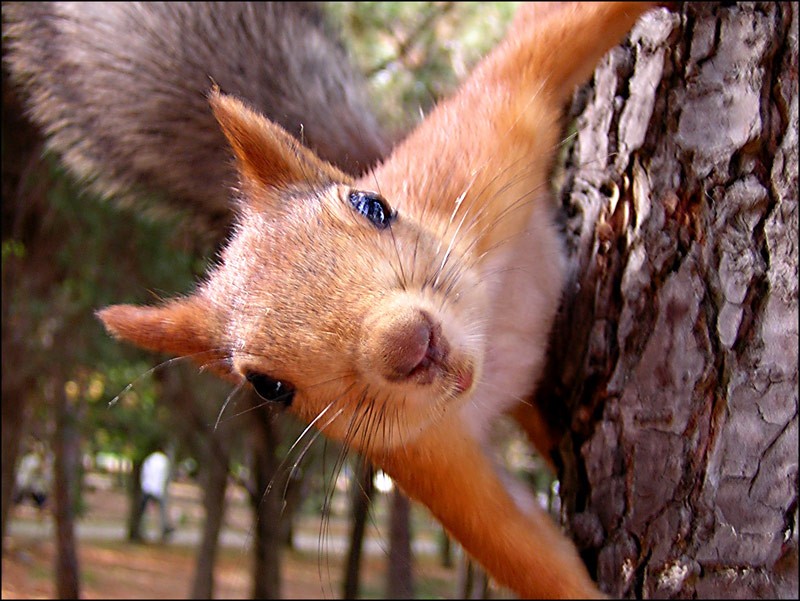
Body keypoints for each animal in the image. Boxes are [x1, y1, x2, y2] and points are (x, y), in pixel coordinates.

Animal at [4, 2, 656, 596]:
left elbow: (540, 43)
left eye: (373, 205)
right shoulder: (421, 450)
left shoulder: (482, 143)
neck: (489, 333)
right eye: (269, 387)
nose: (408, 345)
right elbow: (519, 547)